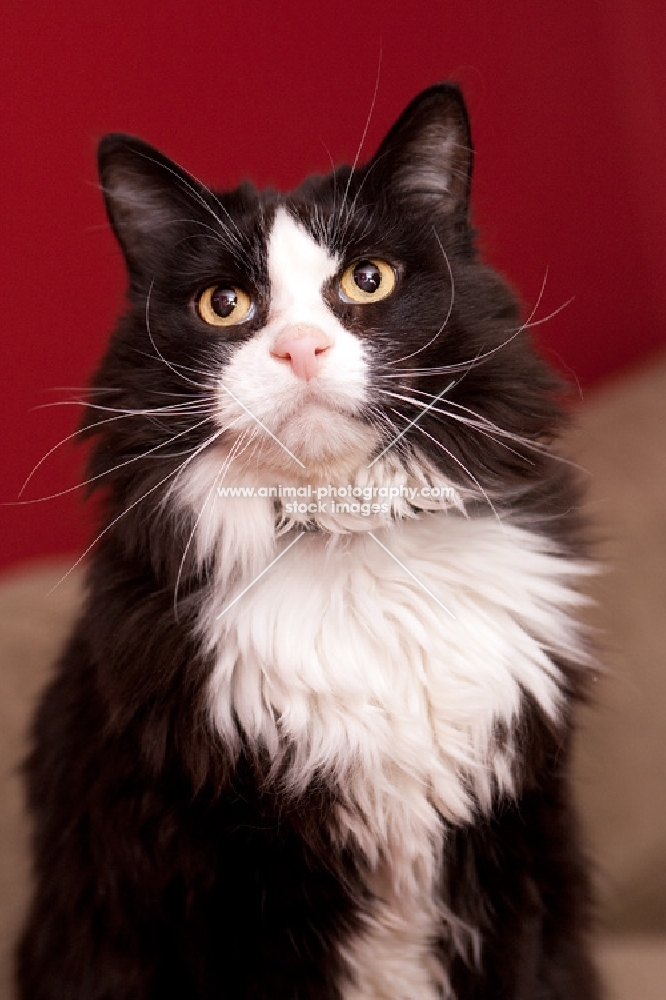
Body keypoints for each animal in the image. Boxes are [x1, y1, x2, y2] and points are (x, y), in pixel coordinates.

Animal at [15, 82, 600, 996]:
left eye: (368, 280)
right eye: (225, 304)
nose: (299, 347)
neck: (351, 542)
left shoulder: (515, 844)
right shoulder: (229, 885)